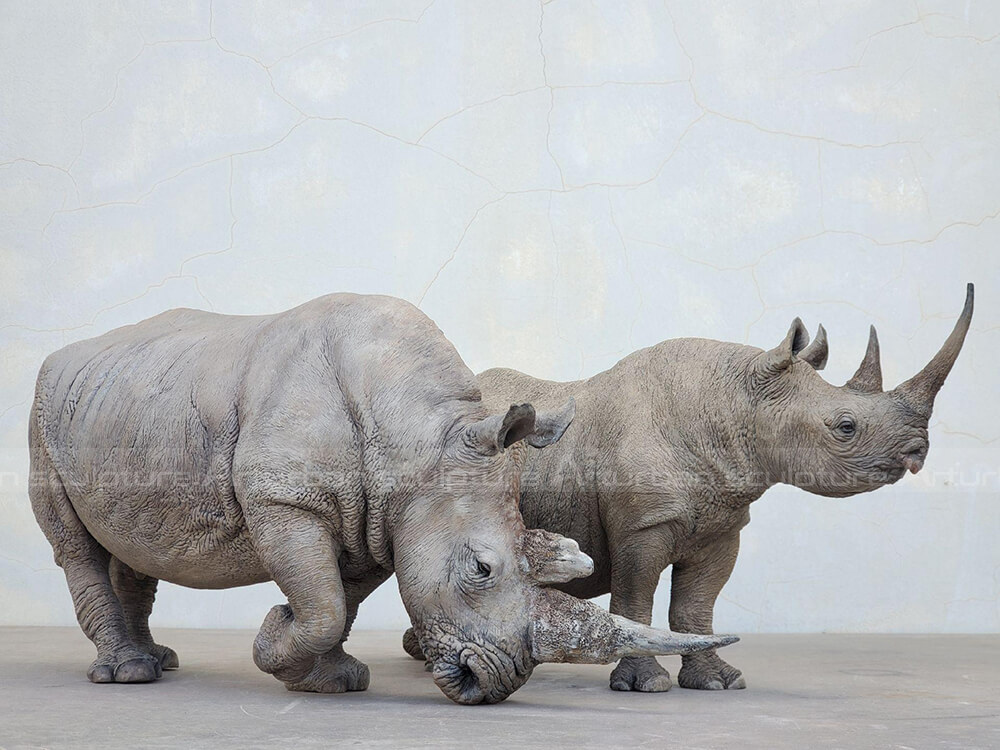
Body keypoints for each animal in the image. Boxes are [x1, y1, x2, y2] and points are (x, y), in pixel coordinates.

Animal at [28, 293, 736, 705]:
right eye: (482, 569)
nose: (492, 683)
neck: (421, 439)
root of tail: (65, 355)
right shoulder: (286, 502)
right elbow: (320, 605)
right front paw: (275, 638)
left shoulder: (379, 517)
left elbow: (341, 602)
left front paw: (328, 680)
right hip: (43, 411)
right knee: (75, 546)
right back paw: (128, 676)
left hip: (126, 406)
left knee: (132, 541)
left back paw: (157, 662)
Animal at [404, 284, 974, 694]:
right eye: (846, 426)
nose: (916, 453)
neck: (736, 402)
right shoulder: (643, 525)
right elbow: (636, 597)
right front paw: (645, 685)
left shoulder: (723, 525)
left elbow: (697, 605)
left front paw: (718, 681)